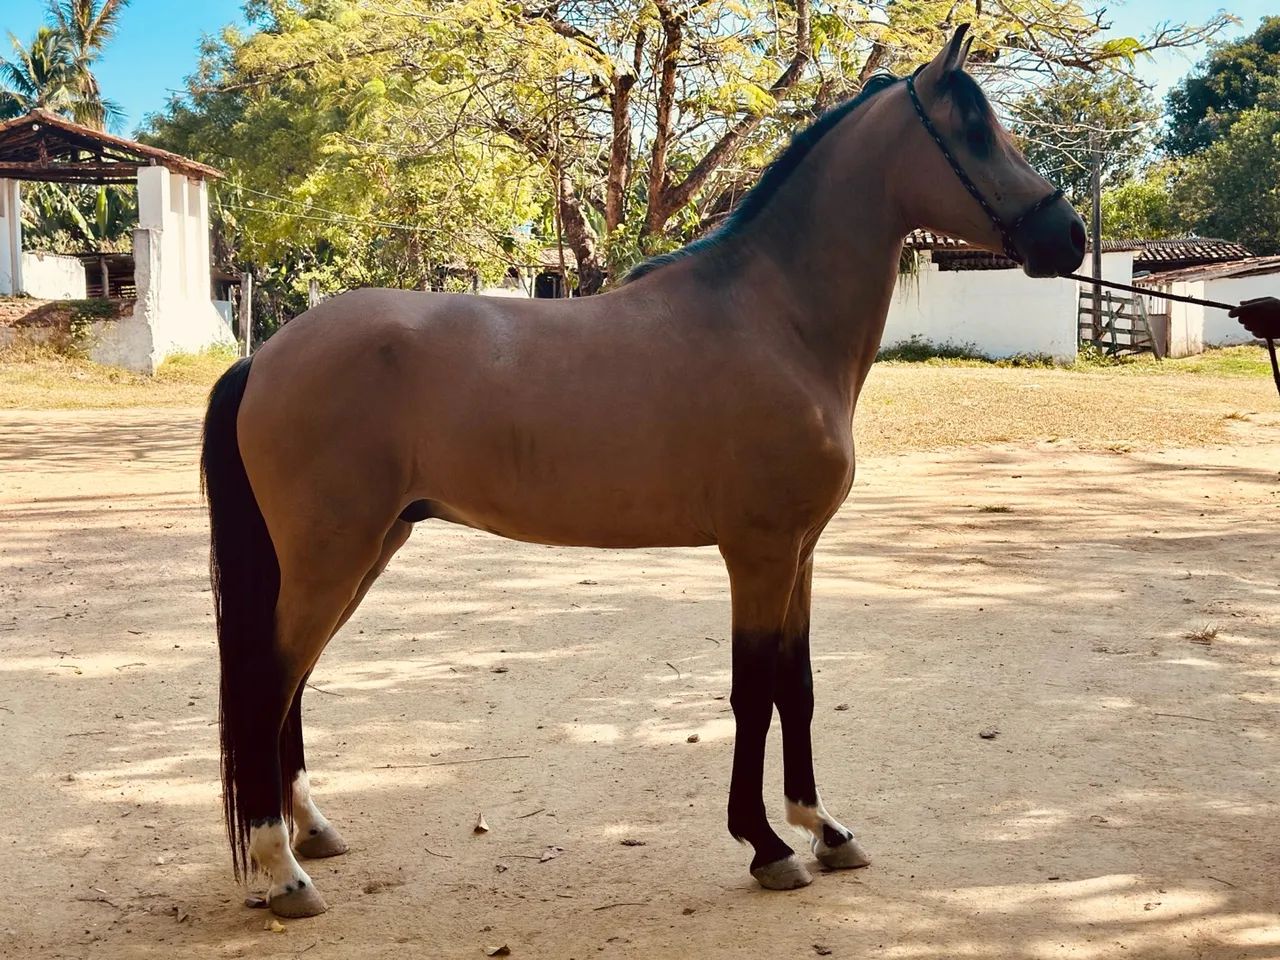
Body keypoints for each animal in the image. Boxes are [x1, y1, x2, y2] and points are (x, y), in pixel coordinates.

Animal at [200, 25, 1085, 919]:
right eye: (975, 131)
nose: (1070, 236)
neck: (774, 319)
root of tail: (265, 358)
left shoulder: (799, 553)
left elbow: (795, 686)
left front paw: (825, 829)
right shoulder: (758, 554)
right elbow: (753, 692)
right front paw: (767, 845)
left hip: (364, 551)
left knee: (290, 683)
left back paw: (312, 831)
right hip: (332, 556)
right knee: (267, 684)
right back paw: (283, 869)